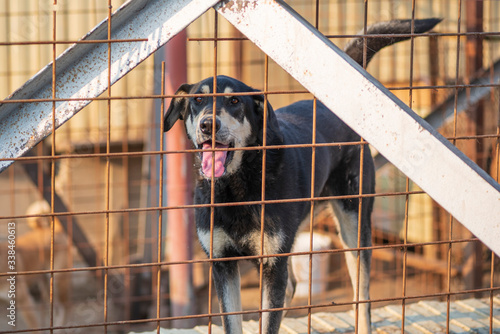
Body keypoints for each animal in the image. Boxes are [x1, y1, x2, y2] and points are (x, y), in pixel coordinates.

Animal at [165, 18, 442, 334]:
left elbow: (269, 321)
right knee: (292, 288)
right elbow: (235, 322)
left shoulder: (273, 263)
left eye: (234, 101)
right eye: (198, 99)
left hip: (354, 227)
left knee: (362, 298)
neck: (237, 186)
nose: (208, 124)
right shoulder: (223, 263)